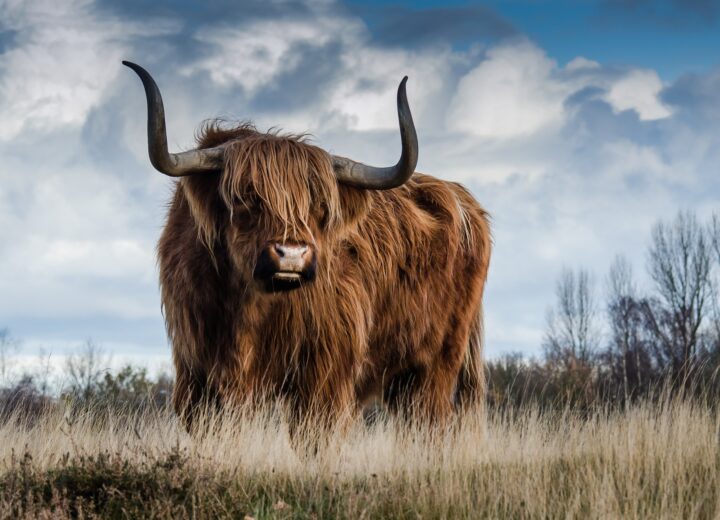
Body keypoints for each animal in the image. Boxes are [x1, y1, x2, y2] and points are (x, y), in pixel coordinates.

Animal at [123, 61, 491, 432]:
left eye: (320, 206)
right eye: (245, 198)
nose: (292, 255)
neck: (247, 309)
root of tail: (463, 199)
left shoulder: (324, 374)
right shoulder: (196, 373)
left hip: (435, 365)